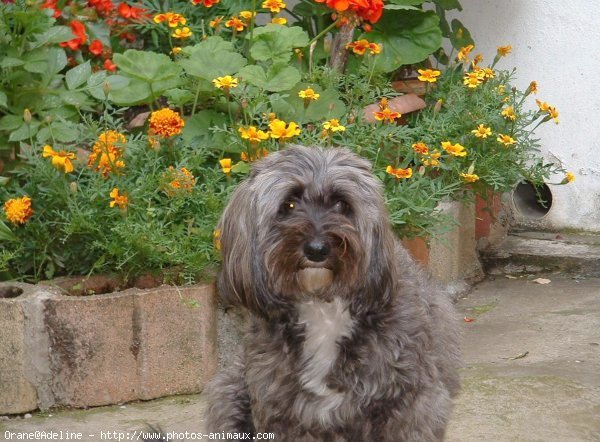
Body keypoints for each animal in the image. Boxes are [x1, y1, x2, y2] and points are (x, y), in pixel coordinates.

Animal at [204, 145, 462, 438]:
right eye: (288, 205)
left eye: (342, 204)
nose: (317, 249)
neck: (323, 306)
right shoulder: (281, 408)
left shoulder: (409, 401)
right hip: (229, 392)